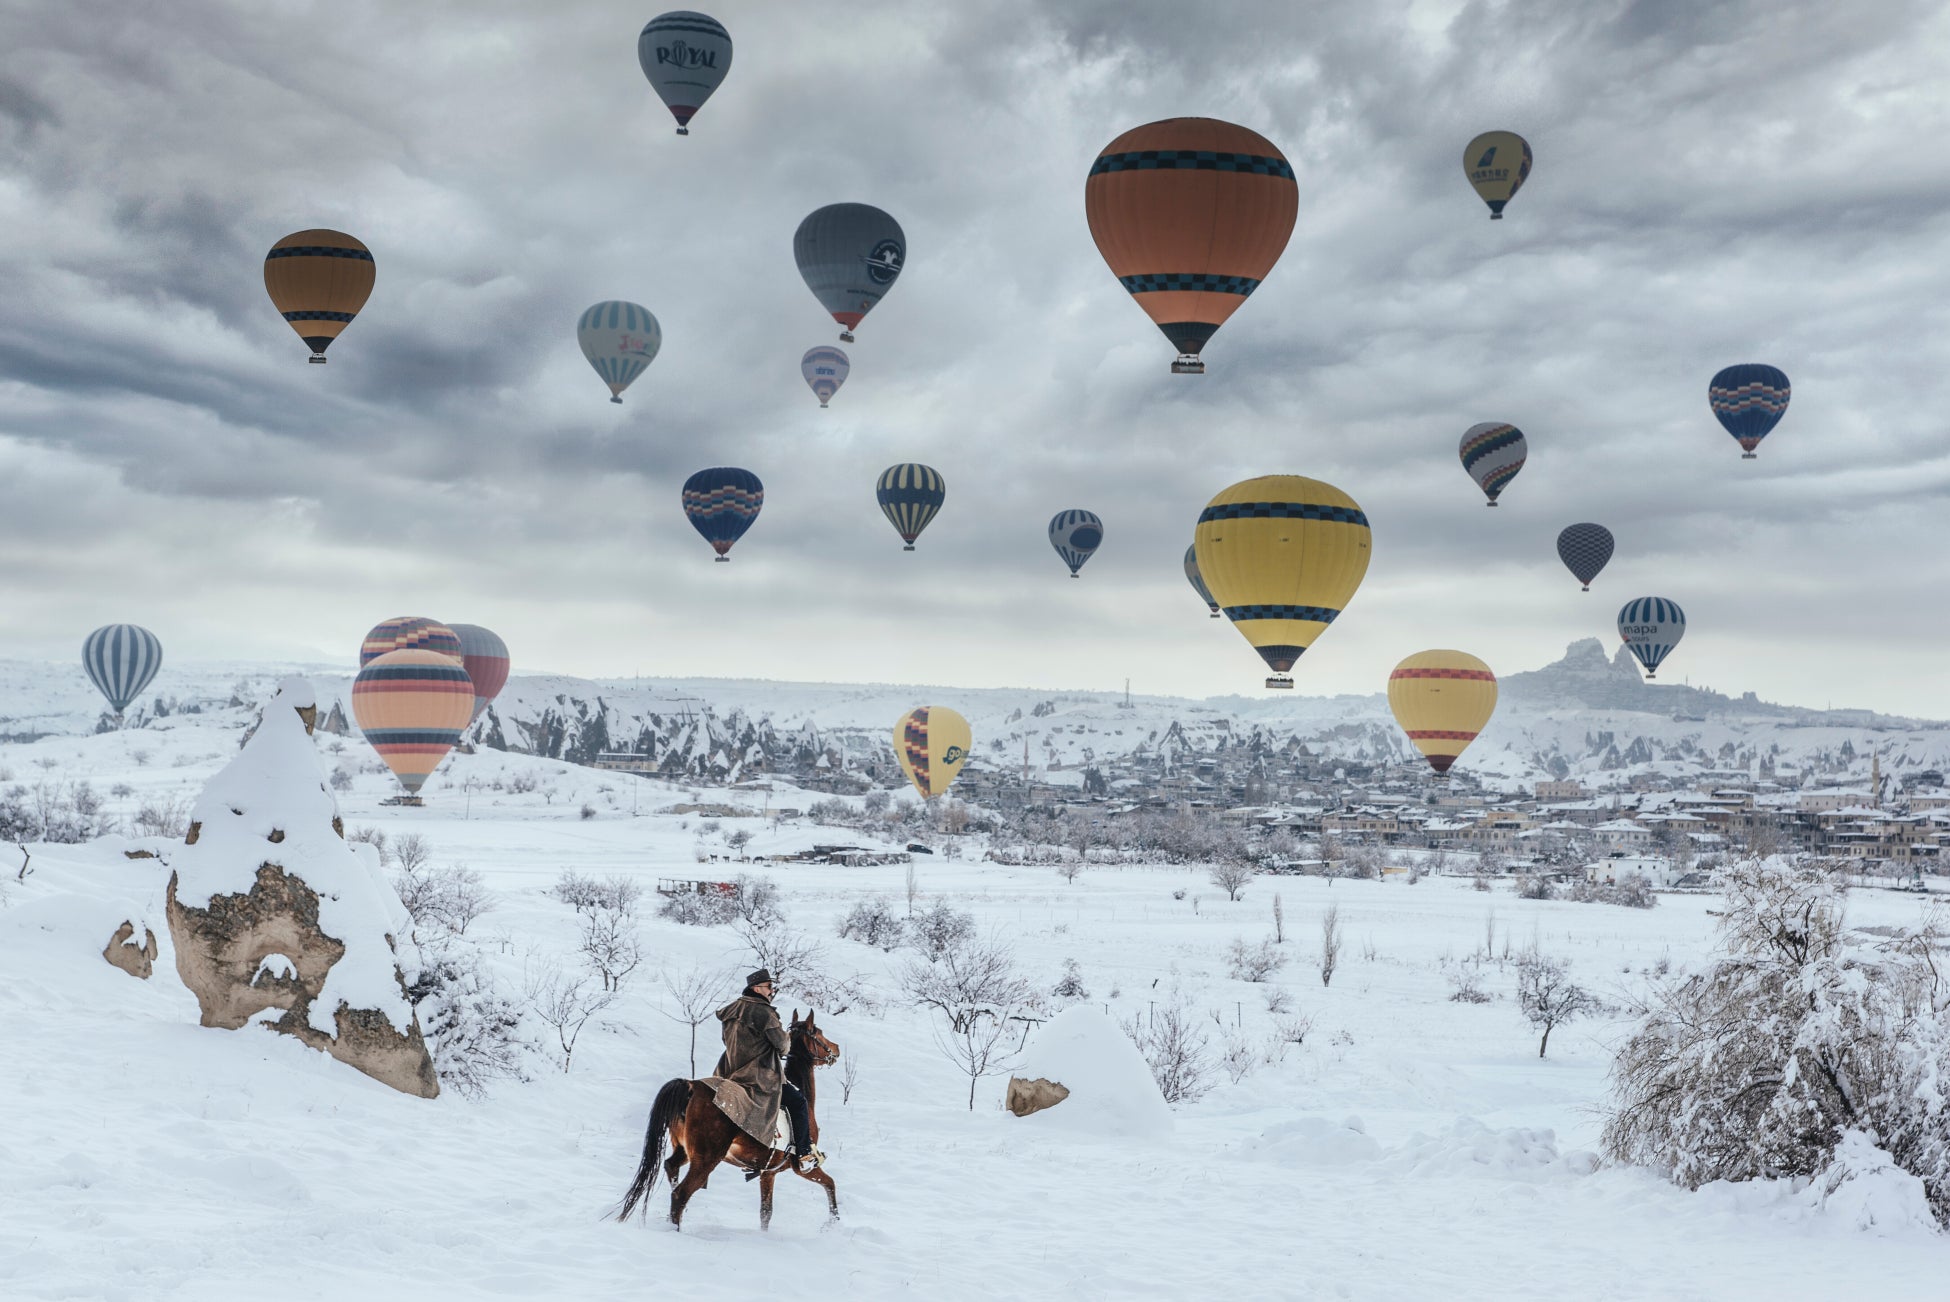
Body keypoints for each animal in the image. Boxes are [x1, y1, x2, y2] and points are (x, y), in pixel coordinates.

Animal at [616, 1005, 838, 1231]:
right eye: (819, 1033)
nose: (836, 1049)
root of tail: (690, 1087)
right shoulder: (801, 1168)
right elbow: (830, 1183)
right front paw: (833, 1223)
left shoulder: (768, 1173)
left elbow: (765, 1213)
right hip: (706, 1159)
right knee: (681, 1194)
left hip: (685, 1150)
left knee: (672, 1168)